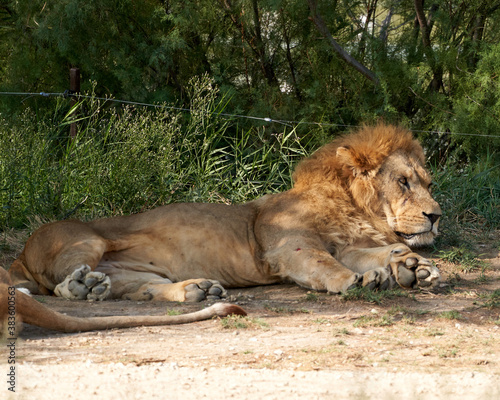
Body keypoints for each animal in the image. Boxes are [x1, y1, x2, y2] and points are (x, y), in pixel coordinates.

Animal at [6, 122, 442, 304]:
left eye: (428, 183)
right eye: (403, 182)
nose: (436, 216)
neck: (354, 210)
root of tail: (20, 254)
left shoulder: (347, 244)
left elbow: (380, 252)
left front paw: (413, 267)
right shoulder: (290, 246)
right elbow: (326, 265)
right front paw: (360, 280)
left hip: (132, 272)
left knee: (135, 288)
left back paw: (195, 290)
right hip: (86, 241)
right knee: (62, 283)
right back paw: (81, 287)